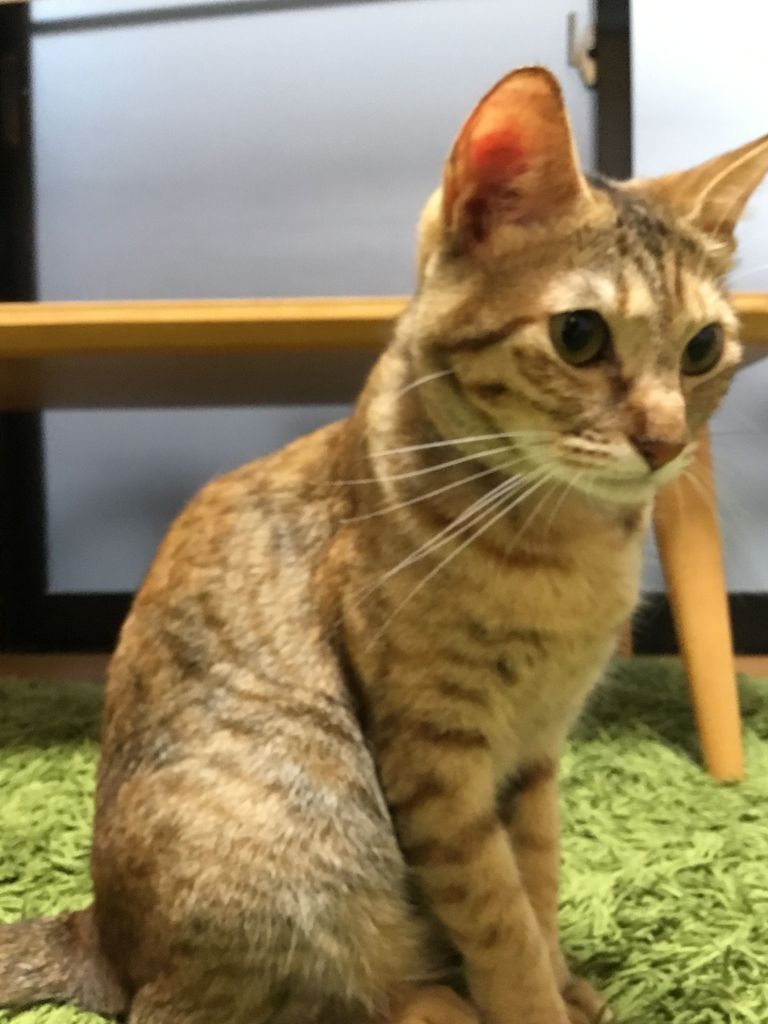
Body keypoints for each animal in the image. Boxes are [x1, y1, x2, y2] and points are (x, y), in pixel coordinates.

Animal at [1, 66, 767, 1024]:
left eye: (703, 348)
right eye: (579, 335)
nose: (666, 444)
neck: (567, 549)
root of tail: (100, 938)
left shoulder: (536, 755)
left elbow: (539, 884)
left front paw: (565, 981)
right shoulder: (436, 760)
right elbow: (499, 920)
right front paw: (534, 1004)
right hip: (307, 847)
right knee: (301, 998)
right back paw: (440, 1006)